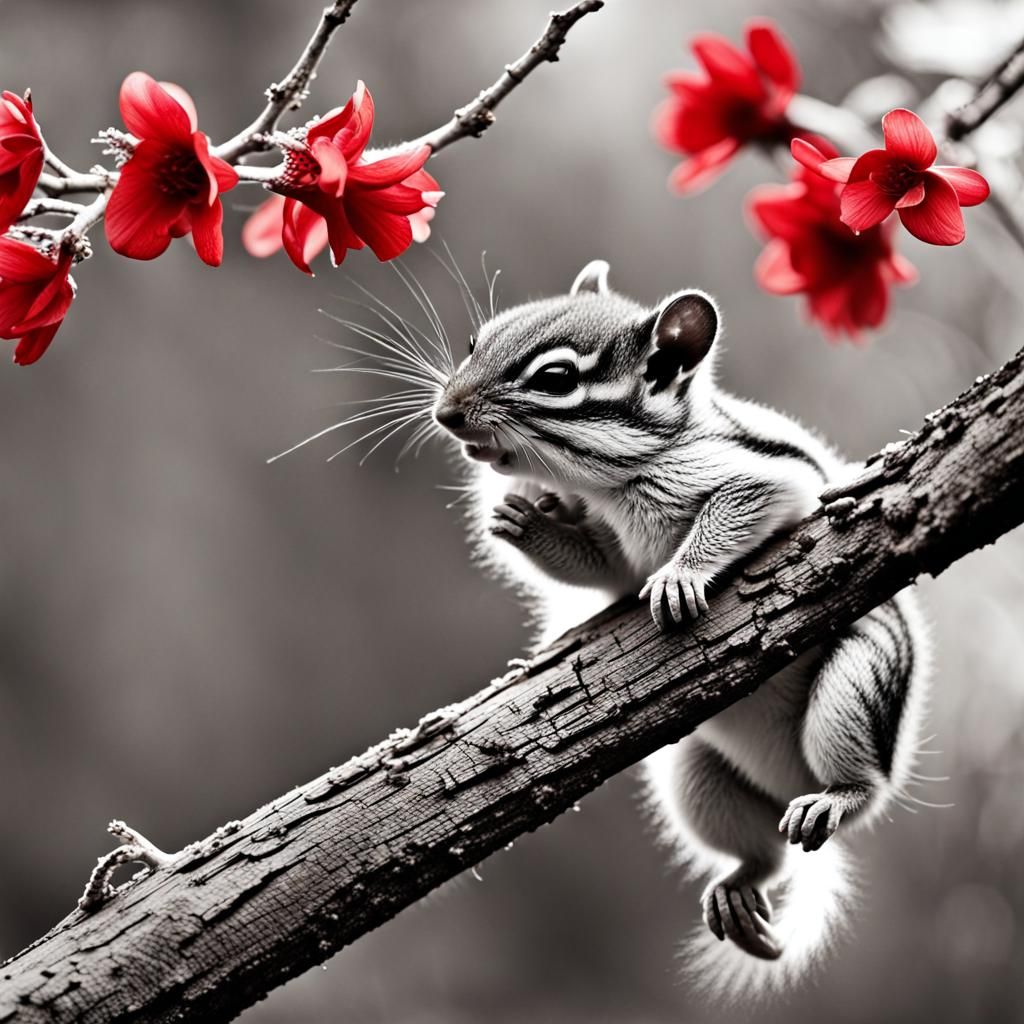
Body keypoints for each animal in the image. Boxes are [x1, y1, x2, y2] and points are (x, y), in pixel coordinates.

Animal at [430, 260, 932, 998]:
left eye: (555, 379)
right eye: (475, 342)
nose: (446, 412)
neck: (616, 486)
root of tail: (790, 784)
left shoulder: (757, 476)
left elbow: (732, 512)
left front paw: (679, 576)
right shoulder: (612, 549)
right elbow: (601, 568)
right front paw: (521, 519)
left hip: (856, 686)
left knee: (863, 789)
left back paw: (839, 797)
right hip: (695, 778)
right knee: (764, 858)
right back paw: (742, 885)